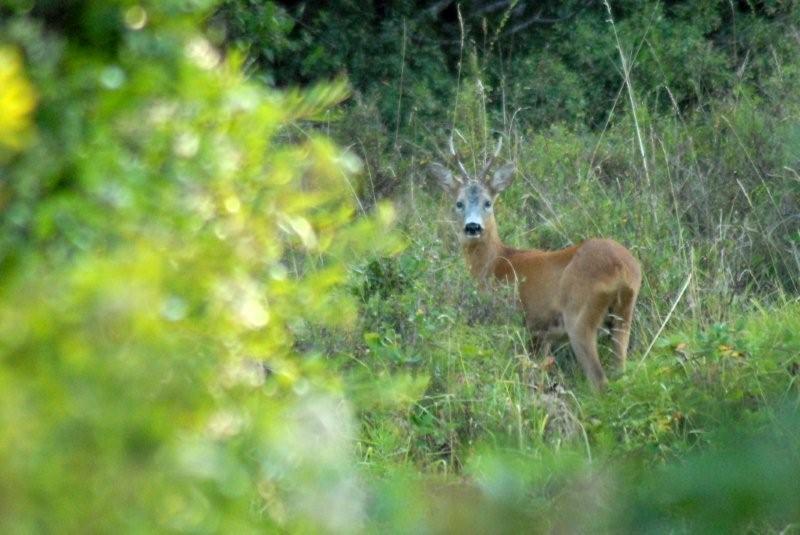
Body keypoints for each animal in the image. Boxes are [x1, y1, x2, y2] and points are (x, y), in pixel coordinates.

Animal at [432, 137, 644, 390]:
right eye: (459, 203)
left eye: (487, 202)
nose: (472, 227)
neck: (496, 262)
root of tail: (622, 268)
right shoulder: (544, 336)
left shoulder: (519, 323)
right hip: (624, 314)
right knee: (621, 371)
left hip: (580, 316)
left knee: (599, 380)